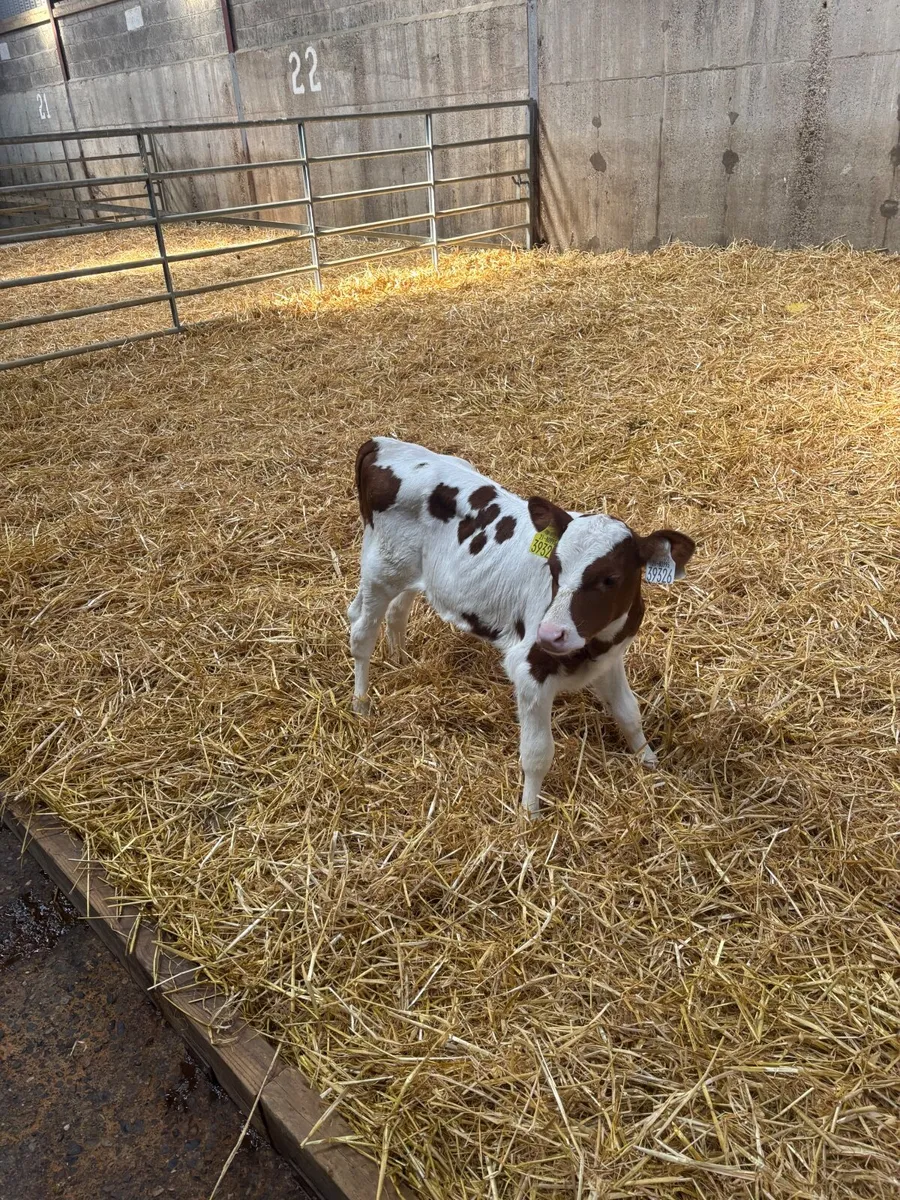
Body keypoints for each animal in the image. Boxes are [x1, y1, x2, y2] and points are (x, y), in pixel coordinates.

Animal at [348, 437, 695, 817]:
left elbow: (629, 713)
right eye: (554, 566)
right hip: (381, 570)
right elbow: (537, 753)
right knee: (361, 633)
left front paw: (650, 763)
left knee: (395, 611)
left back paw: (401, 661)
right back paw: (361, 703)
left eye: (611, 579)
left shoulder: (611, 658)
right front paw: (530, 815)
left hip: (412, 571)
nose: (549, 634)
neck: (594, 643)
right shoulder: (529, 671)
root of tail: (383, 443)